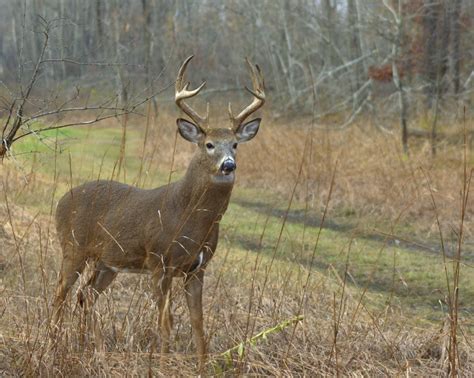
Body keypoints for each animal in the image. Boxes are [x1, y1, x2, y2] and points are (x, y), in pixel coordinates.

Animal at [52, 56, 266, 370]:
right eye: (209, 144)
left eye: (236, 144)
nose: (228, 165)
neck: (188, 218)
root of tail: (60, 201)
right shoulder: (158, 261)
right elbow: (166, 321)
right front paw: (163, 364)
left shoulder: (197, 268)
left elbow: (198, 322)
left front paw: (202, 367)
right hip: (73, 247)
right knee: (61, 293)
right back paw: (51, 343)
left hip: (107, 262)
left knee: (86, 295)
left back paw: (97, 351)